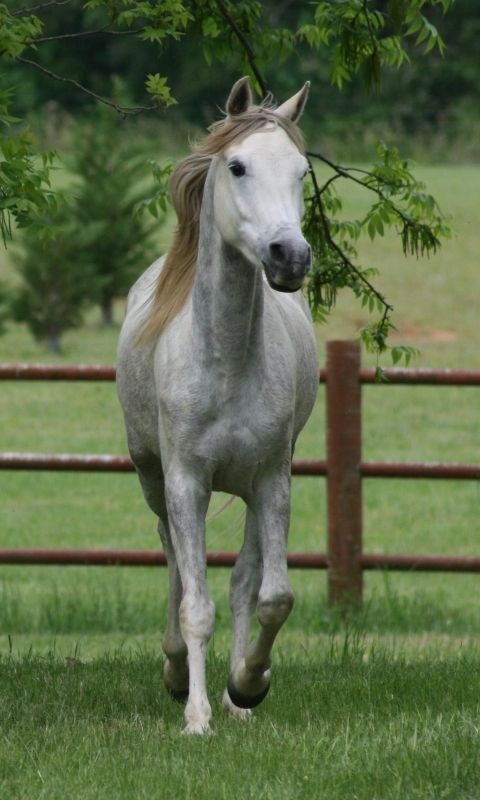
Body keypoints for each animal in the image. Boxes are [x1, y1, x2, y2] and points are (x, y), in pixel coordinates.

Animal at [116, 78, 318, 736]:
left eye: (302, 171)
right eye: (237, 166)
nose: (289, 257)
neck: (225, 362)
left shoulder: (272, 481)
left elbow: (269, 596)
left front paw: (247, 685)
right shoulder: (186, 483)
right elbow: (195, 604)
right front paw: (197, 717)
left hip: (256, 488)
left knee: (242, 581)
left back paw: (234, 698)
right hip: (154, 481)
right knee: (175, 564)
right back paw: (179, 674)